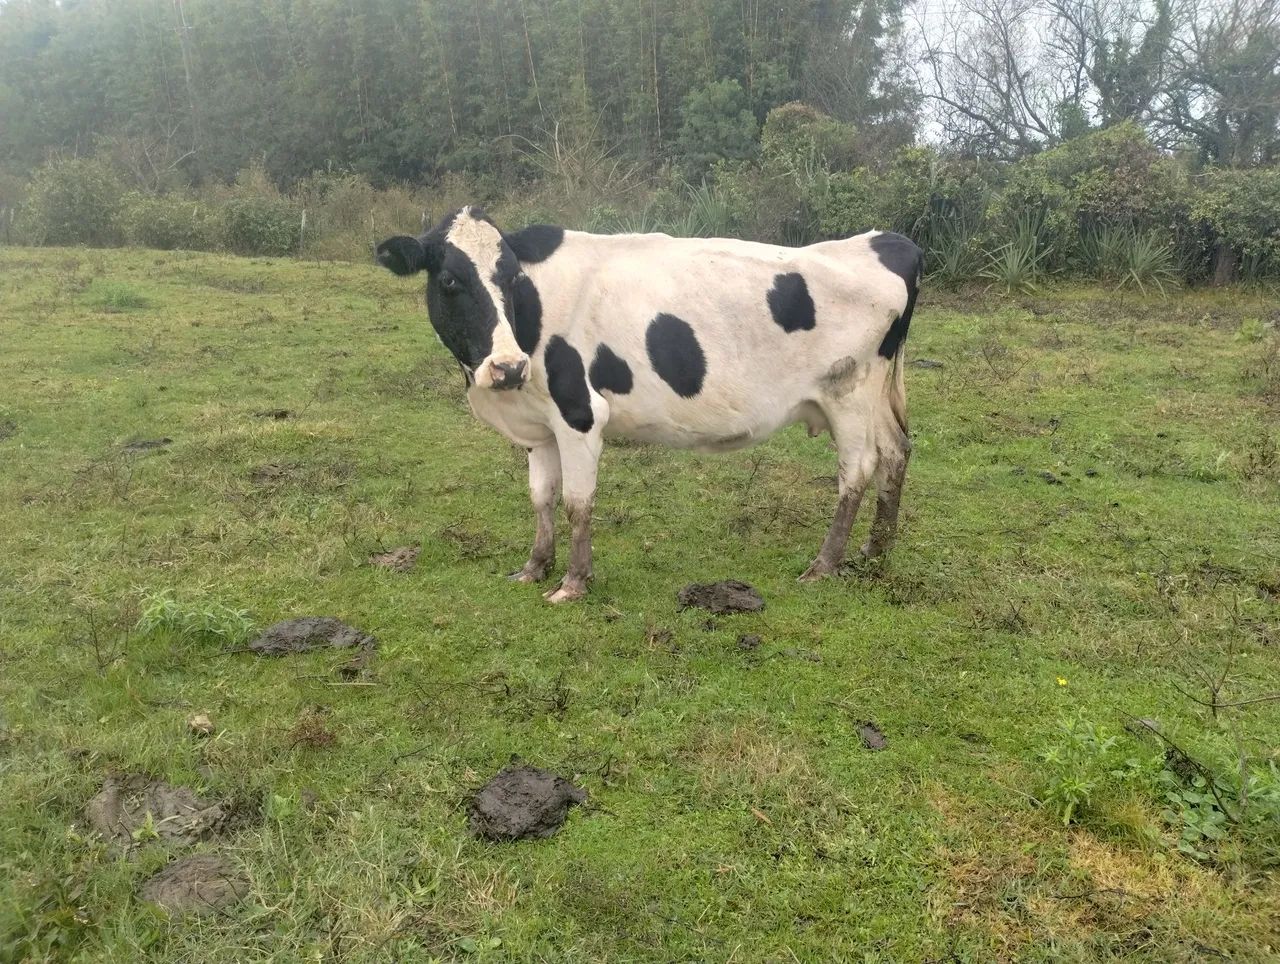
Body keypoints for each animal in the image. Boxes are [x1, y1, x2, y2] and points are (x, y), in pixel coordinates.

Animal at [376, 207, 922, 603]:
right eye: (450, 280)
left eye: (510, 279)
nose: (508, 367)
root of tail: (884, 242)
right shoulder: (540, 424)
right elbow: (541, 497)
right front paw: (534, 567)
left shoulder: (580, 413)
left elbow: (577, 502)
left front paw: (573, 584)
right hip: (873, 398)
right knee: (896, 452)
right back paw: (876, 552)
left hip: (847, 395)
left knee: (858, 469)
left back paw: (824, 565)